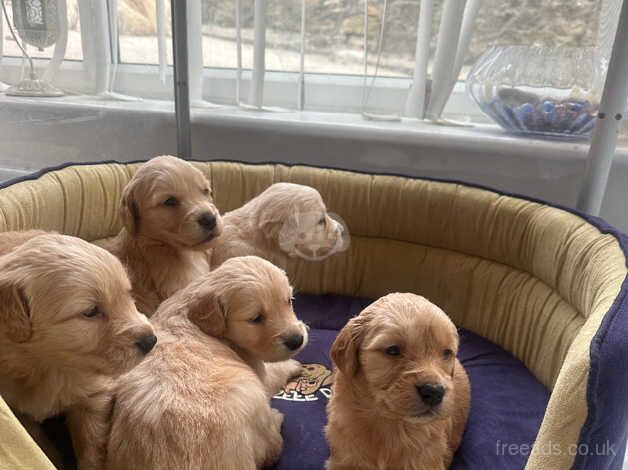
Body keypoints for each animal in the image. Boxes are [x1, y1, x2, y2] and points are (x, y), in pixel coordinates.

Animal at [0, 232, 156, 470]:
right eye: (91, 312)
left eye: (129, 296)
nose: (151, 340)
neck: (49, 367)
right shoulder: (17, 409)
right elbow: (38, 442)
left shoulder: (94, 398)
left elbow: (91, 447)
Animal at [108, 258, 310, 470]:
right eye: (256, 318)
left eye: (289, 301)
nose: (297, 340)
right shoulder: (256, 367)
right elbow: (273, 372)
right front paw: (293, 364)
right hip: (251, 393)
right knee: (271, 448)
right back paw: (276, 418)